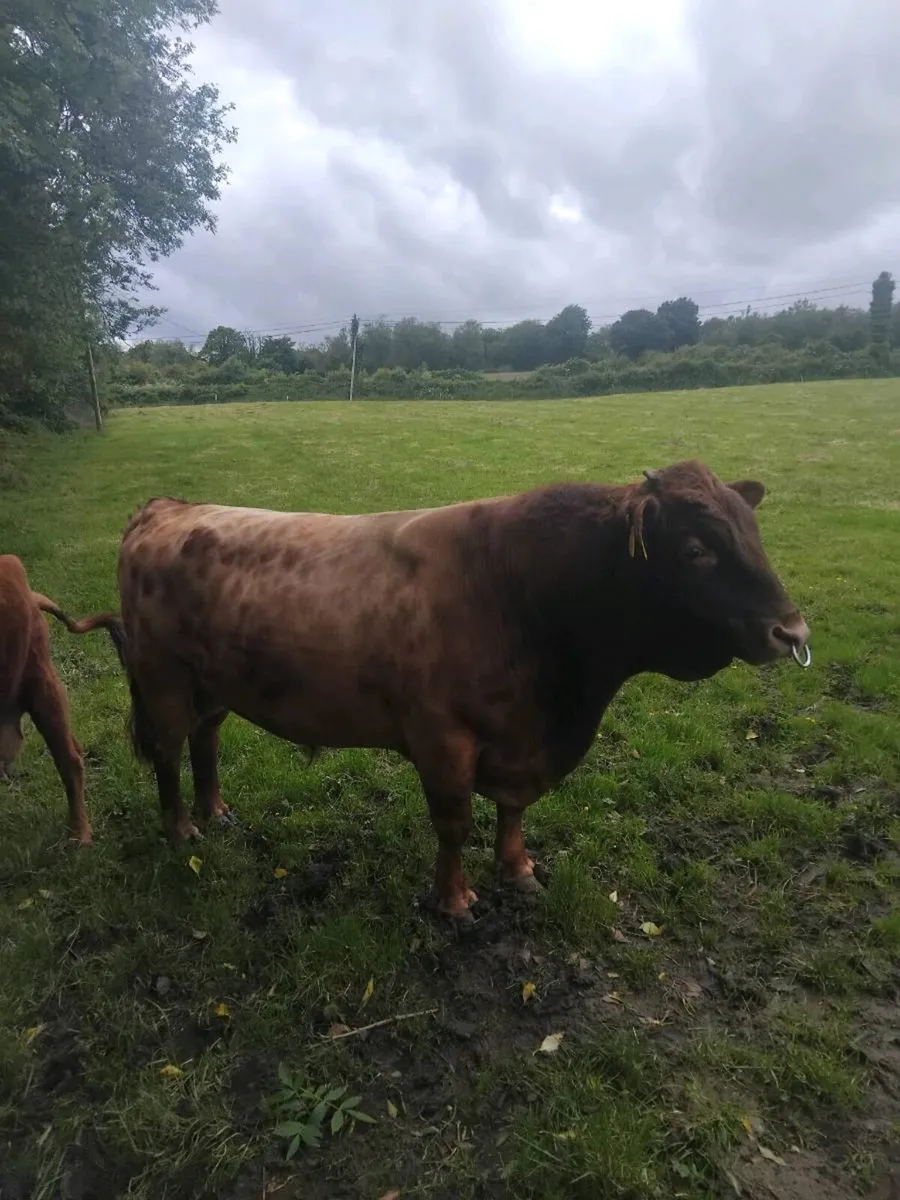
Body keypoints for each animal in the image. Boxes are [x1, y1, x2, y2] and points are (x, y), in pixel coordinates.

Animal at [89, 459, 810, 922]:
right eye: (695, 549)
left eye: (754, 533)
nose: (791, 630)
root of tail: (167, 507)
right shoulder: (442, 738)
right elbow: (454, 822)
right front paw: (454, 901)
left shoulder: (520, 739)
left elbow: (514, 812)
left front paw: (518, 870)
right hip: (162, 678)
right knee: (168, 751)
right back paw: (182, 829)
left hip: (212, 685)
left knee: (206, 742)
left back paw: (216, 811)